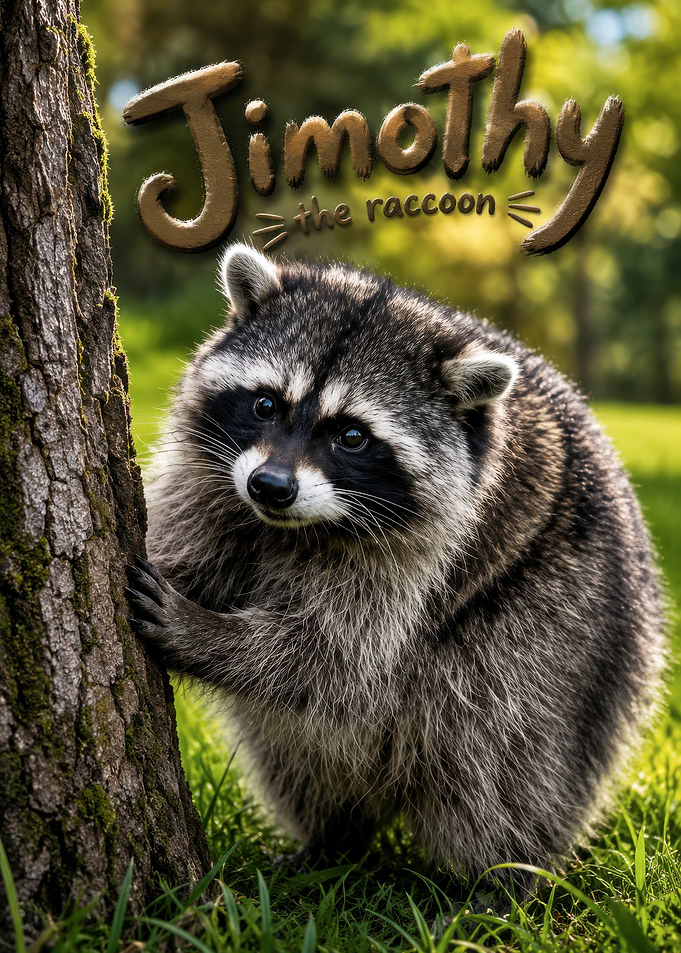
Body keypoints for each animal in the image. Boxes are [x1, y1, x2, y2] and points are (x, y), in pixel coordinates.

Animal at [126, 244, 664, 888]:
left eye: (352, 436)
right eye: (265, 403)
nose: (271, 486)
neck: (290, 529)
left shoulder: (422, 557)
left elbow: (336, 656)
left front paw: (207, 635)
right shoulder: (208, 480)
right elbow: (192, 547)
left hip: (565, 629)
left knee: (499, 747)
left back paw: (502, 874)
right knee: (293, 754)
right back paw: (333, 836)